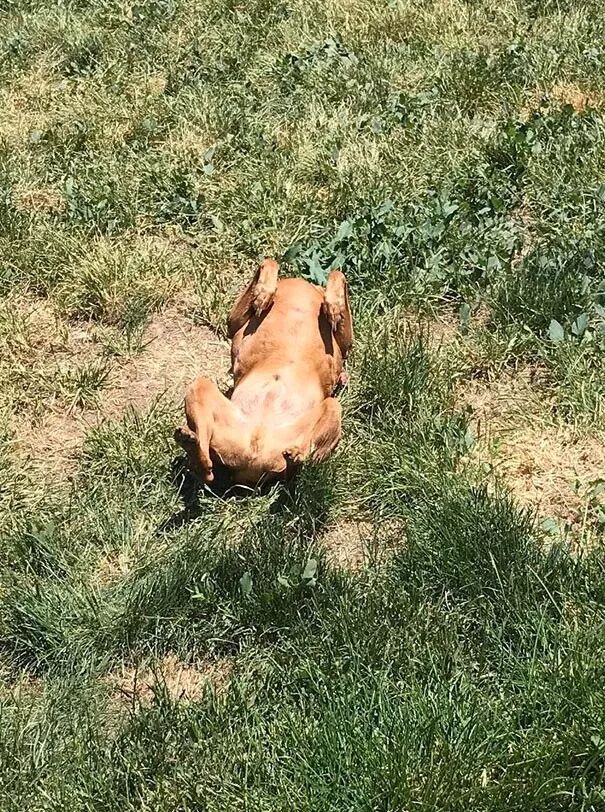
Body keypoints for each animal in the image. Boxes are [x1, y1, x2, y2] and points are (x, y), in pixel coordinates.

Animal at [174, 258, 353, 487]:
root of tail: (252, 461)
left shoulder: (345, 344)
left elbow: (337, 274)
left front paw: (332, 306)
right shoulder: (234, 323)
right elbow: (270, 262)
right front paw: (264, 295)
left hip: (330, 410)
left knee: (298, 468)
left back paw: (295, 455)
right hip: (204, 393)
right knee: (208, 464)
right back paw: (190, 444)